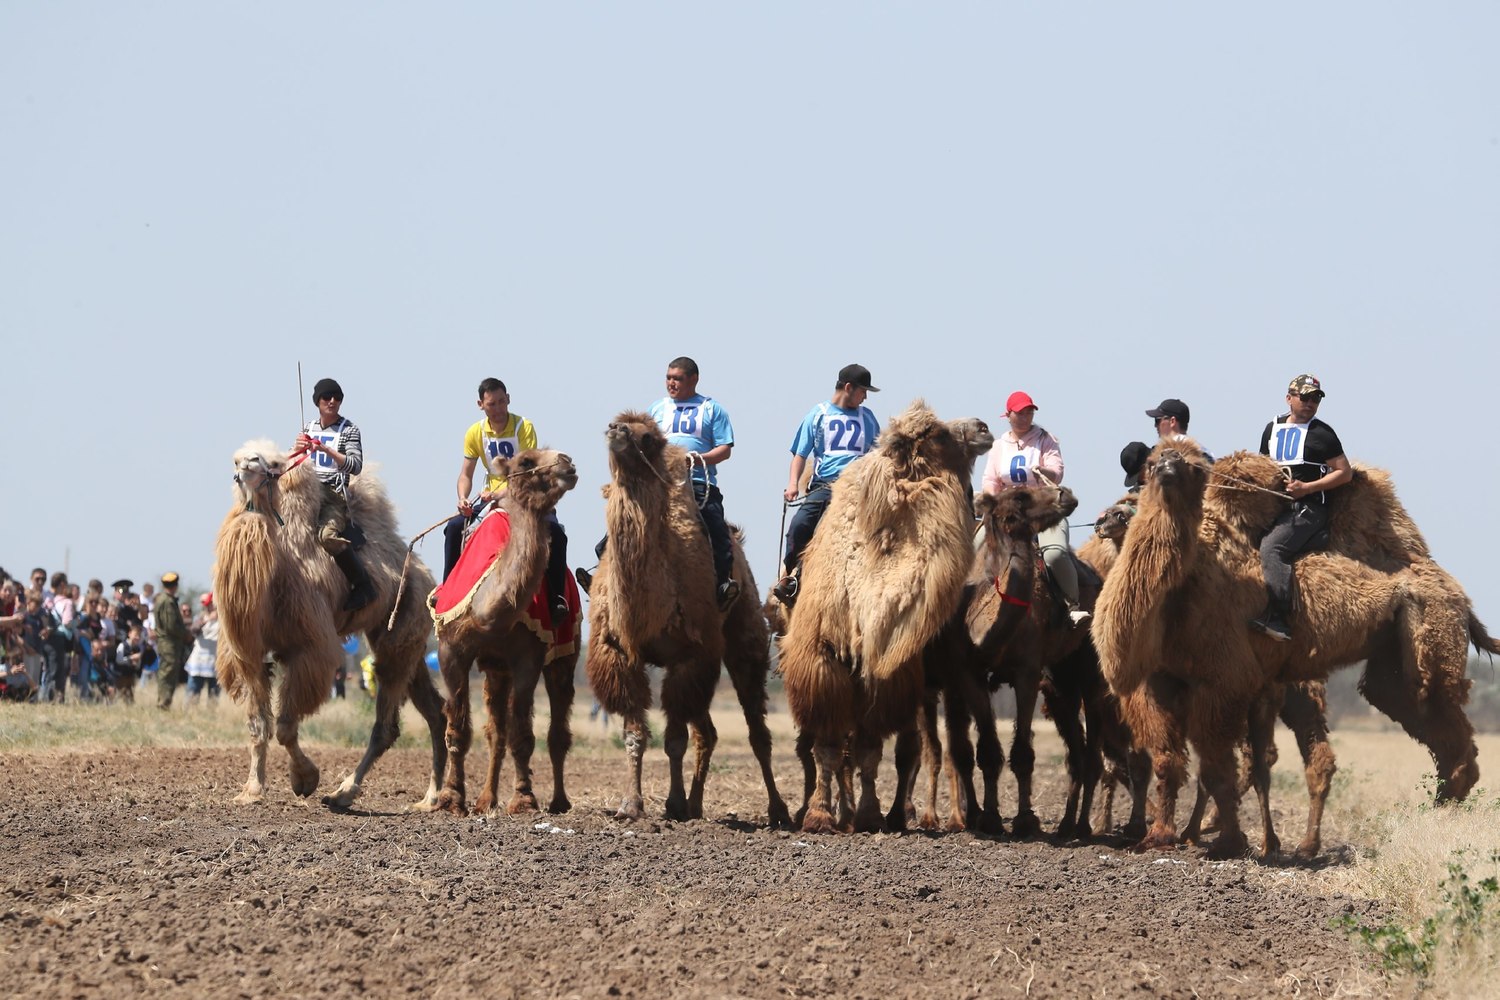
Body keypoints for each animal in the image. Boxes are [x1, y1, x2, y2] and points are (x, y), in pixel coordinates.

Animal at [214, 440, 444, 809]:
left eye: (273, 463)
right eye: (236, 460)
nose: (247, 464)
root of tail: (426, 576)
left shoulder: (309, 648)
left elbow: (285, 726)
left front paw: (305, 779)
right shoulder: (247, 656)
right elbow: (259, 726)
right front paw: (251, 790)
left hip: (399, 630)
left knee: (386, 723)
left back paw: (344, 792)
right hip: (406, 642)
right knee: (435, 710)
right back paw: (431, 797)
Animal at [432, 449, 582, 815]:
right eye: (526, 462)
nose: (567, 461)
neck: (487, 612)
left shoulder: (528, 656)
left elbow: (522, 734)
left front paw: (524, 799)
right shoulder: (451, 651)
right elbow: (457, 729)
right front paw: (451, 798)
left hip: (565, 654)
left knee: (557, 730)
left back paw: (558, 801)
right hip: (495, 669)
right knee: (494, 731)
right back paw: (486, 799)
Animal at [585, 410, 792, 827]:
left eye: (647, 437)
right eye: (615, 422)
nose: (616, 431)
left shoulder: (690, 654)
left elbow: (675, 739)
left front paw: (674, 804)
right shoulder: (619, 654)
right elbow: (634, 733)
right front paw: (631, 805)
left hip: (744, 638)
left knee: (755, 729)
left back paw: (778, 811)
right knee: (708, 732)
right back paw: (698, 805)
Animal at [780, 401, 990, 833]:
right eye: (937, 433)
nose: (983, 427)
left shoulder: (884, 678)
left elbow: (869, 750)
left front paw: (869, 814)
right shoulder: (821, 667)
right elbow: (827, 748)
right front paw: (819, 815)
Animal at [1098, 443, 1494, 863]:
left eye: (1192, 467)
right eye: (1153, 462)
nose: (1106, 519)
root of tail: (1460, 596)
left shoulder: (1223, 680)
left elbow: (1217, 770)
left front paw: (1227, 843)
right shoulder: (1158, 682)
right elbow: (1167, 761)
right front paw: (1158, 836)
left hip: (1430, 634)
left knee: (1439, 713)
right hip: (1390, 661)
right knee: (1411, 712)